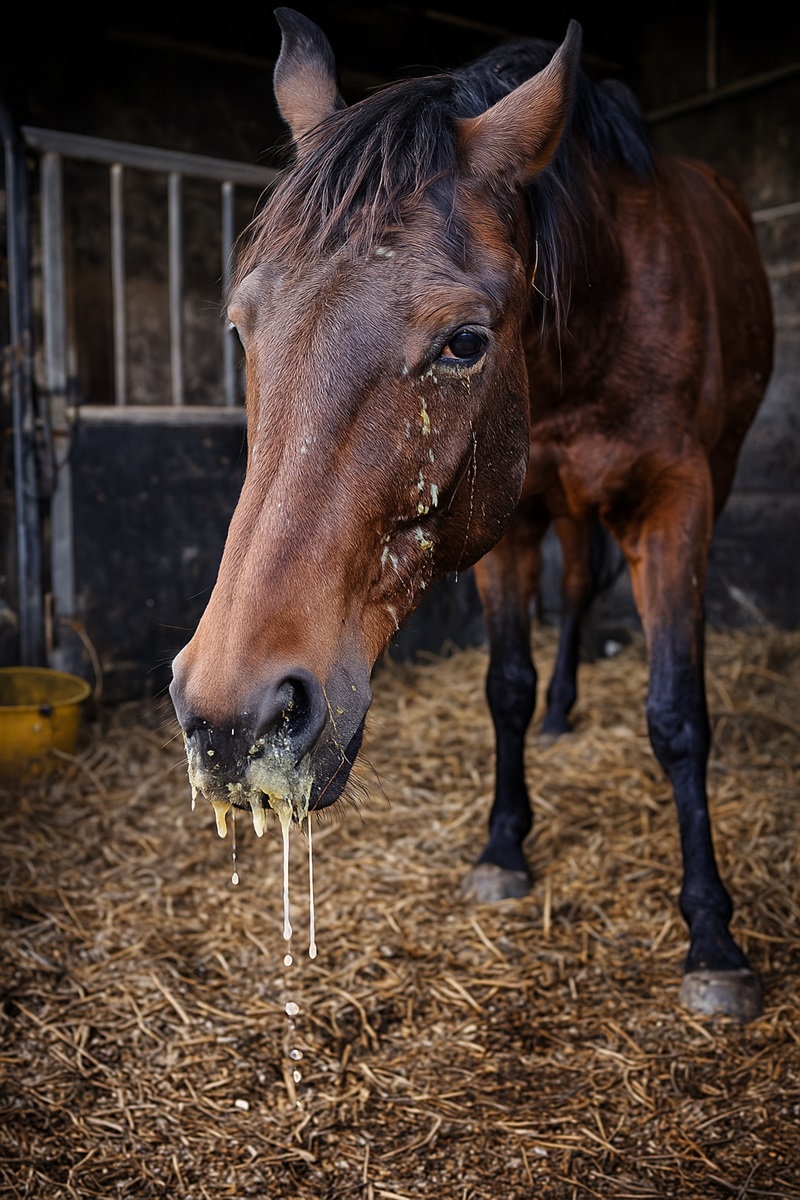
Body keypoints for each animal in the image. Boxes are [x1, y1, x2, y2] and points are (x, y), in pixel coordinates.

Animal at [170, 8, 774, 1022]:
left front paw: (713, 936)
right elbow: (507, 686)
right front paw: (502, 848)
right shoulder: (509, 518)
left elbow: (678, 714)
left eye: (464, 342)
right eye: (242, 325)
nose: (232, 717)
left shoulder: (675, 503)